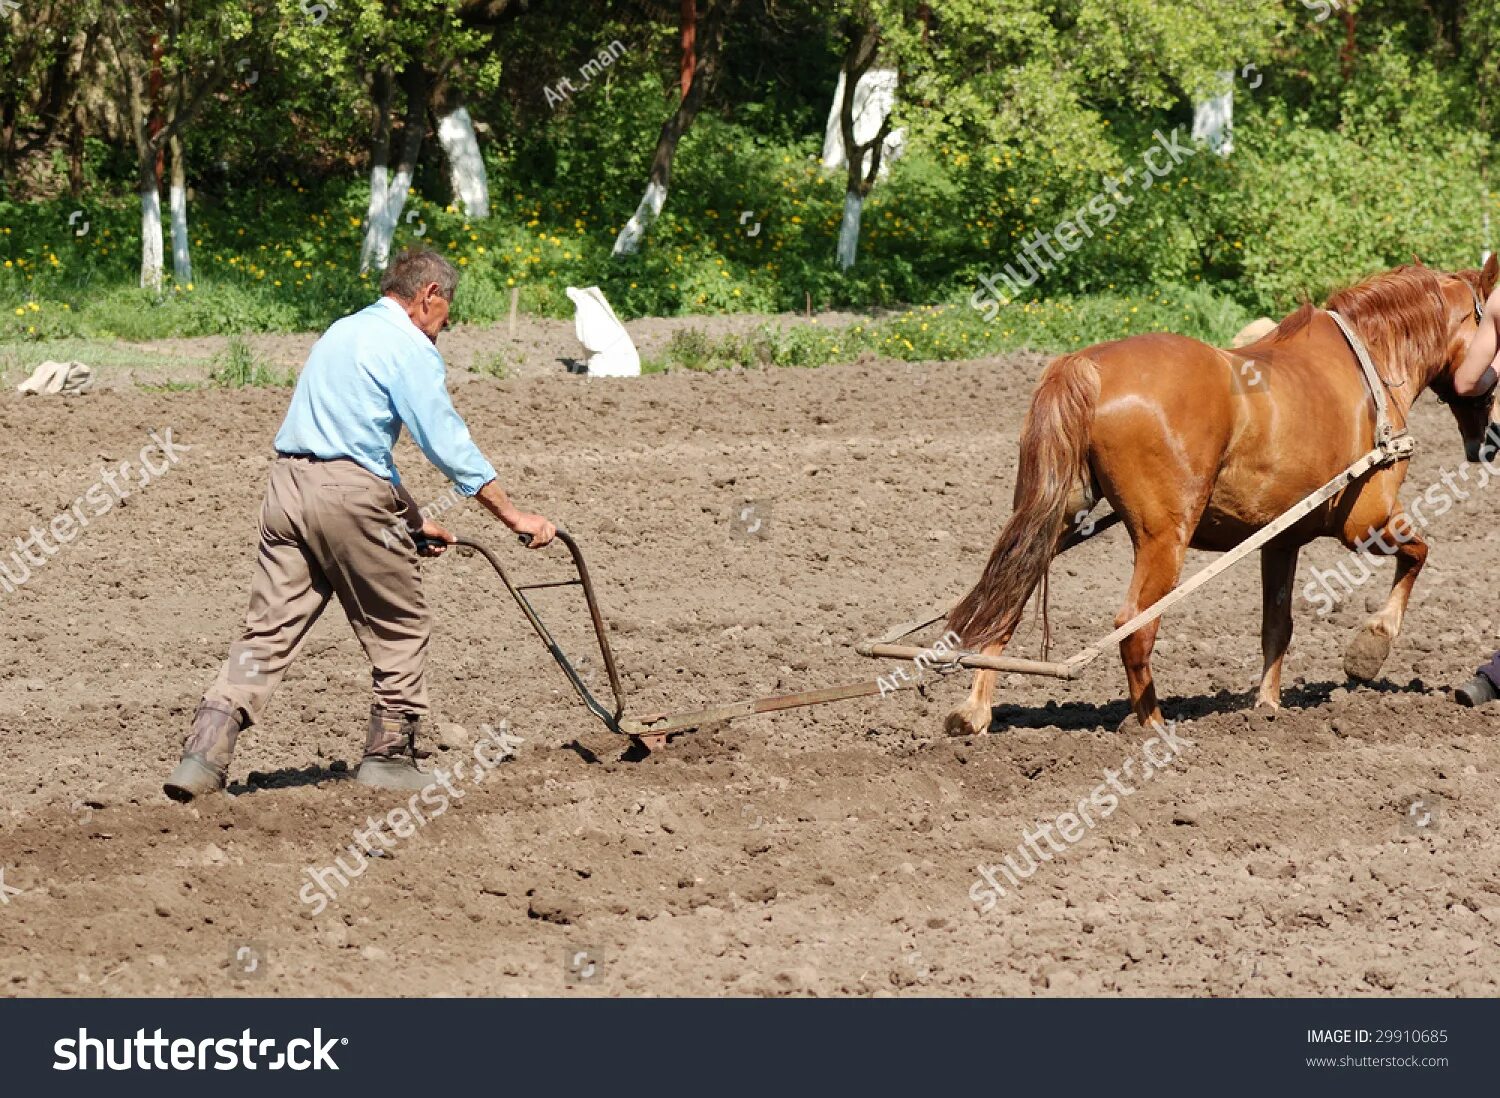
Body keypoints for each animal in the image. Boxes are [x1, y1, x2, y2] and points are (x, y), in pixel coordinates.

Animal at [948, 258, 1500, 738]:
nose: (1490, 437)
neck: (1370, 367)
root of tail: (1086, 365)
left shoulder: (1281, 540)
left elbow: (1277, 624)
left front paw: (1267, 705)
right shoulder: (1367, 522)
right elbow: (1418, 554)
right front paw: (1371, 645)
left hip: (1053, 517)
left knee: (1006, 600)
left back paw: (974, 712)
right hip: (1164, 537)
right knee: (1134, 627)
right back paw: (1151, 726)